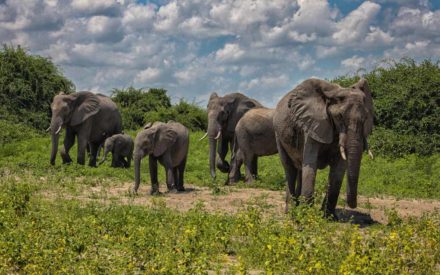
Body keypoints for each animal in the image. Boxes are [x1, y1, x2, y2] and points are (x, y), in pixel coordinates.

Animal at [274, 78, 372, 219]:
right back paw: (291, 212)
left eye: (366, 118)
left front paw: (329, 217)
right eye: (339, 117)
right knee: (289, 169)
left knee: (299, 168)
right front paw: (307, 216)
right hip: (278, 135)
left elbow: (339, 169)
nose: (352, 205)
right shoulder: (312, 125)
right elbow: (311, 164)